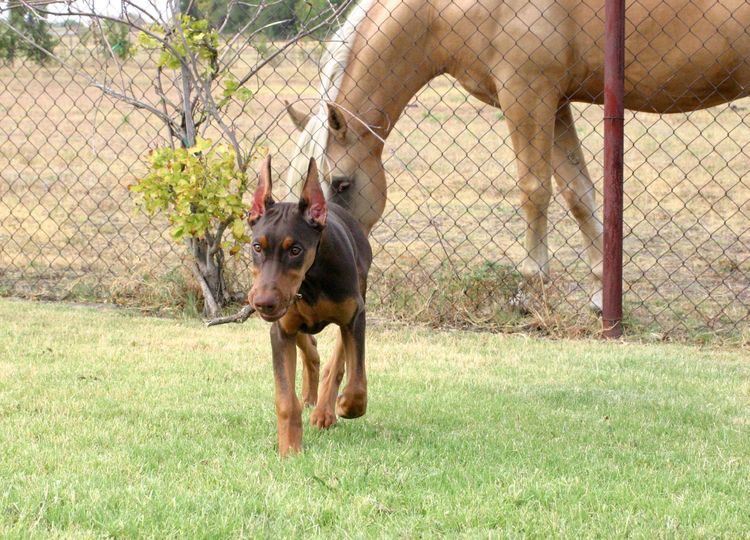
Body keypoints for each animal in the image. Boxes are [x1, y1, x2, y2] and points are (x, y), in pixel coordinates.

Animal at [248, 155, 374, 456]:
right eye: (257, 247)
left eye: (295, 250)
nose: (262, 303)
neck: (310, 282)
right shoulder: (281, 330)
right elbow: (285, 400)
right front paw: (290, 448)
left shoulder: (354, 317)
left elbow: (357, 384)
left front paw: (344, 405)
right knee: (310, 348)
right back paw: (310, 395)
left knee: (337, 360)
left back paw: (324, 410)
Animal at [284, 0, 750, 308]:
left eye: (342, 184)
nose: (314, 278)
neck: (440, 12)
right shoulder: (556, 103)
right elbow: (578, 194)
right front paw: (602, 292)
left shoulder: (527, 93)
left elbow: (534, 189)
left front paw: (530, 289)